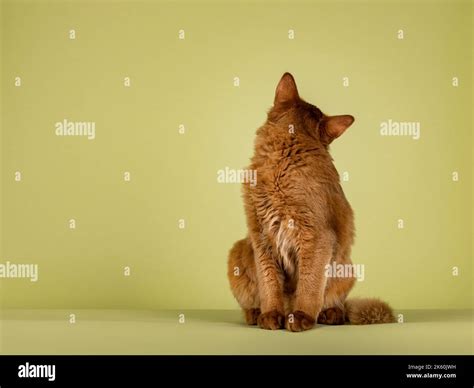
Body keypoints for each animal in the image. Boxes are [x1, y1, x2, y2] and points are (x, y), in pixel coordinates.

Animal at [228, 72, 394, 330]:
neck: (281, 166)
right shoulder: (261, 237)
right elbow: (269, 284)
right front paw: (271, 315)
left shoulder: (317, 237)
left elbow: (310, 284)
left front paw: (302, 316)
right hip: (238, 250)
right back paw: (256, 314)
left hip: (346, 266)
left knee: (335, 300)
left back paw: (330, 314)